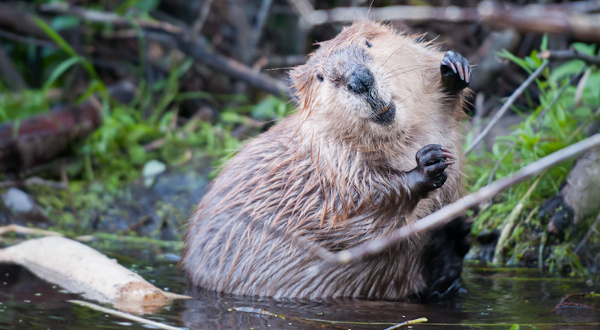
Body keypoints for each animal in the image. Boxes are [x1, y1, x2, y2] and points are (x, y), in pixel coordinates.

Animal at [180, 19, 472, 300]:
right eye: (321, 77)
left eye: (368, 43)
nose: (360, 80)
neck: (404, 138)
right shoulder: (331, 163)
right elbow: (357, 215)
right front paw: (427, 164)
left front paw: (454, 68)